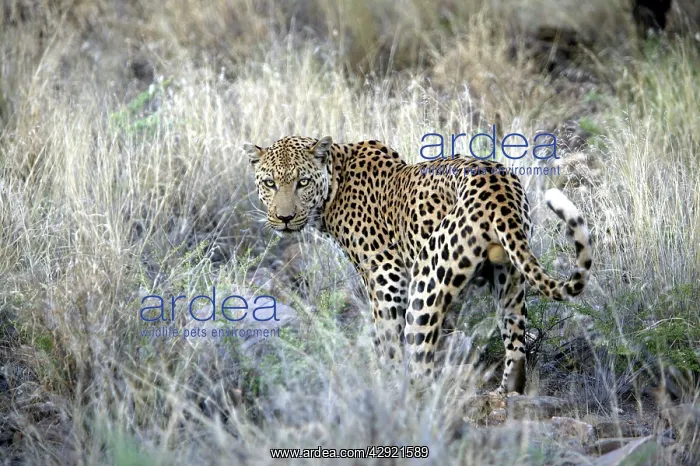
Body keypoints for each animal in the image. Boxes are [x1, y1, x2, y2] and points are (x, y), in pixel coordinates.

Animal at [243, 135, 592, 394]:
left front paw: (386, 380)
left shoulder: (385, 278)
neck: (334, 185)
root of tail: (499, 188)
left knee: (422, 360)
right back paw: (505, 394)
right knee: (516, 347)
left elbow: (388, 341)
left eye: (302, 182)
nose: (285, 217)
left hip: (427, 284)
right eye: (270, 183)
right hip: (509, 280)